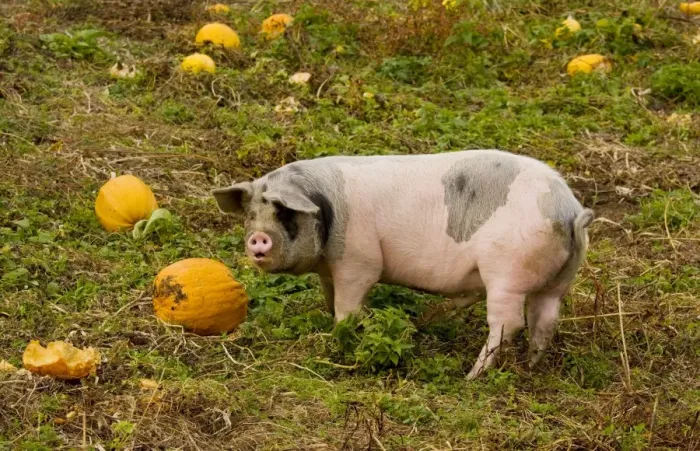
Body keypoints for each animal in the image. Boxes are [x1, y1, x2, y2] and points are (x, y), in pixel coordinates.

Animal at [213, 150, 594, 379]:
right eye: (251, 214)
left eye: (284, 212)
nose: (258, 238)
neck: (329, 208)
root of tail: (569, 211)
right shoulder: (330, 271)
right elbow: (329, 299)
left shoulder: (358, 263)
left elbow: (347, 309)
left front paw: (341, 338)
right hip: (557, 282)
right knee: (544, 321)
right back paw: (530, 366)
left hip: (506, 276)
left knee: (508, 324)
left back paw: (471, 376)